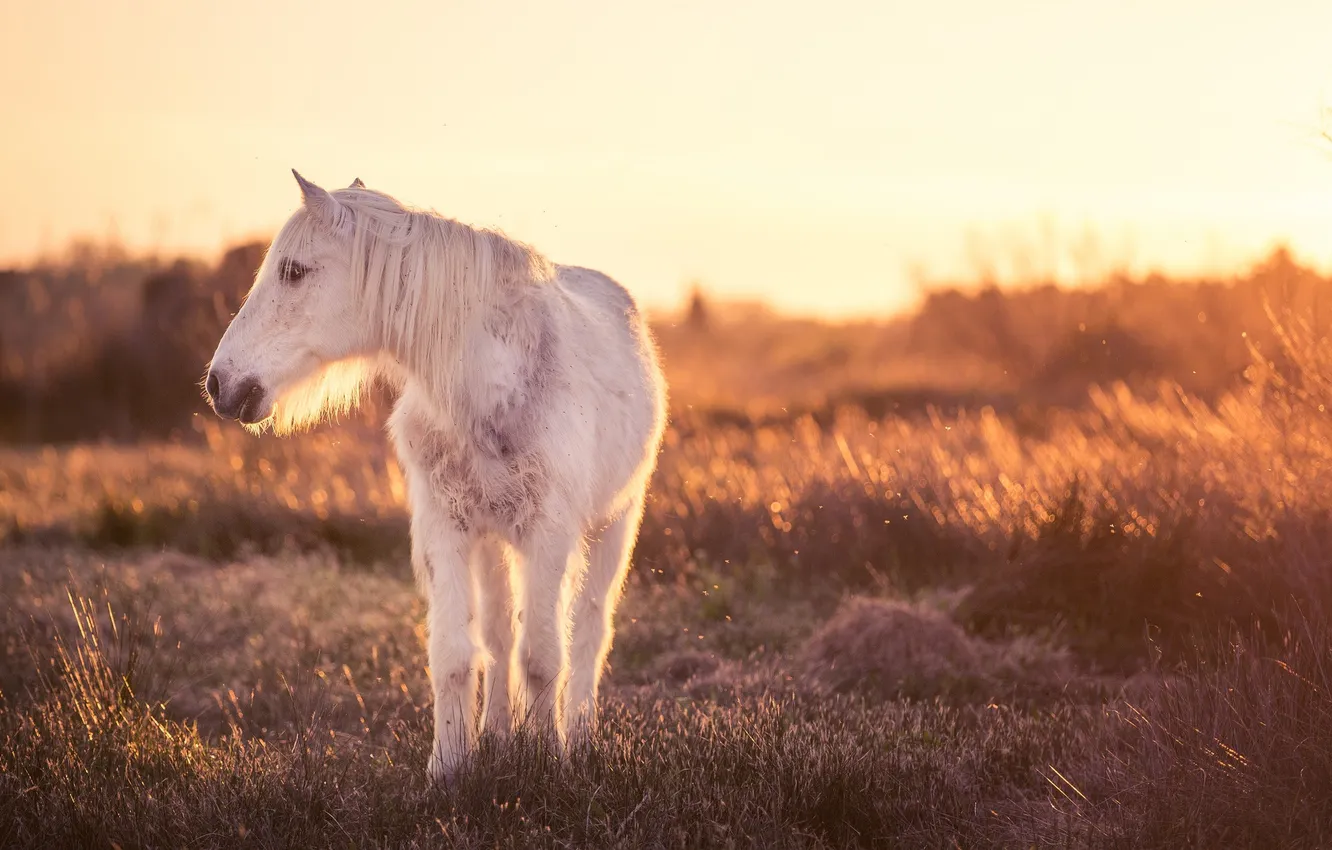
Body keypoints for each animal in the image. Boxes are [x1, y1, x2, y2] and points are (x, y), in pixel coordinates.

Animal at [206, 171, 668, 783]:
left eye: (294, 271)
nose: (220, 383)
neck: (490, 385)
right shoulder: (447, 530)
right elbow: (455, 655)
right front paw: (449, 766)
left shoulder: (549, 534)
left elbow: (545, 655)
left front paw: (547, 762)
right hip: (494, 542)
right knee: (499, 634)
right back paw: (499, 738)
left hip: (613, 525)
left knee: (589, 633)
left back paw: (580, 739)